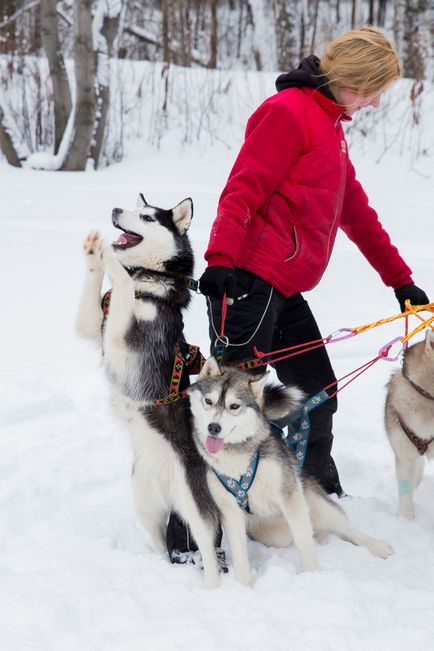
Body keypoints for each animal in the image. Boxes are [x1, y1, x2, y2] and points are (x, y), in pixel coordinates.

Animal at [75, 195, 222, 592]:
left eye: (146, 217)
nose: (114, 210)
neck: (151, 283)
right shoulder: (95, 326)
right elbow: (94, 301)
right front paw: (94, 253)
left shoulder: (124, 337)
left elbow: (124, 284)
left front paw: (112, 260)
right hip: (145, 504)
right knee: (161, 542)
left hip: (198, 510)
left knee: (208, 548)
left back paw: (212, 588)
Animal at [187, 360, 394, 588]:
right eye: (209, 401)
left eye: (234, 406)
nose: (213, 427)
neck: (238, 456)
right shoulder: (230, 511)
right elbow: (240, 554)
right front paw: (243, 586)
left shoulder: (290, 496)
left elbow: (303, 541)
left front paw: (311, 575)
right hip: (271, 532)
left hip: (315, 503)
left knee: (345, 528)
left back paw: (377, 546)